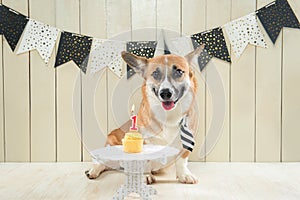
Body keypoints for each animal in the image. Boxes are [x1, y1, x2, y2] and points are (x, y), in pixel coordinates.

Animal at [85, 43, 205, 184]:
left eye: (179, 72)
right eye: (155, 73)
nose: (165, 93)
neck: (168, 116)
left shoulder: (186, 142)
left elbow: (182, 160)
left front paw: (184, 175)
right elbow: (144, 161)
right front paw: (145, 176)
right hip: (112, 147)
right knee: (101, 162)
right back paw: (93, 171)